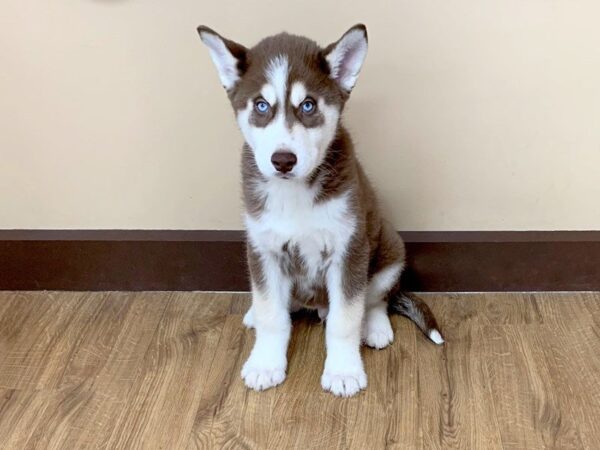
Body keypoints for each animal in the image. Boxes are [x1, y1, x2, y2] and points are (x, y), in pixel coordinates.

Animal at [196, 24, 440, 398]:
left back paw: (375, 327)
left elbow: (346, 318)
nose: (283, 160)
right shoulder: (263, 249)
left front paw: (344, 370)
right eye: (261, 105)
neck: (294, 193)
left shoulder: (349, 250)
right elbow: (272, 314)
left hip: (389, 249)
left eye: (308, 105)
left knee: (375, 299)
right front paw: (265, 363)